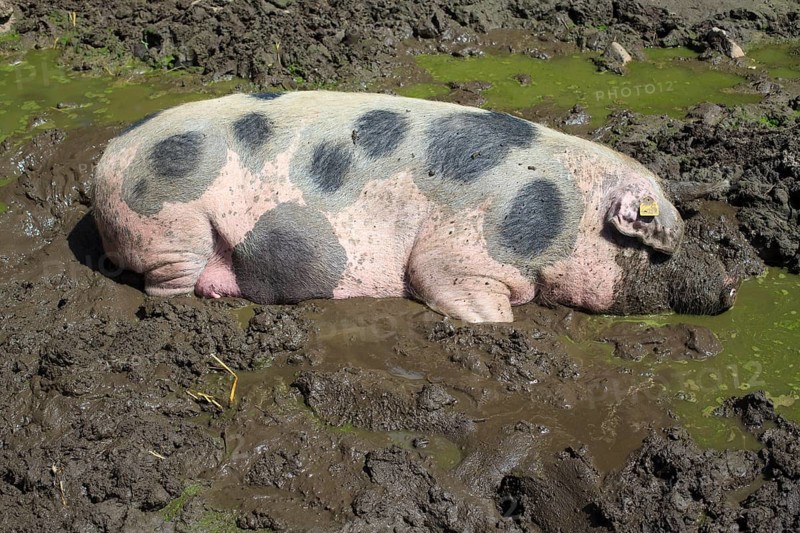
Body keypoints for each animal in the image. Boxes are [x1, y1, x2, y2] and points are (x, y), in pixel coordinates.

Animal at [91, 91, 738, 323]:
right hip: (168, 223)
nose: (731, 287)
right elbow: (454, 287)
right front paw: (498, 321)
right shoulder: (459, 251)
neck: (561, 218)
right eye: (656, 250)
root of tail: (105, 160)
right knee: (165, 282)